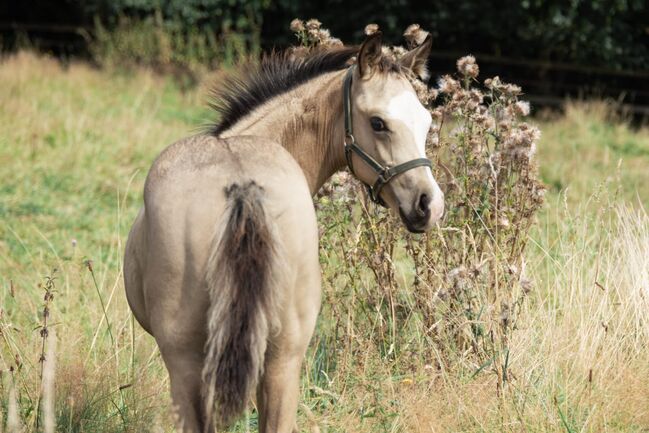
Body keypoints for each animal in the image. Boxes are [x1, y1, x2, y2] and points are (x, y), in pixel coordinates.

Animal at [124, 31, 442, 432]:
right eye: (378, 123)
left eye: (425, 122)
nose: (428, 204)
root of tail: (243, 186)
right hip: (284, 359)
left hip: (188, 363)